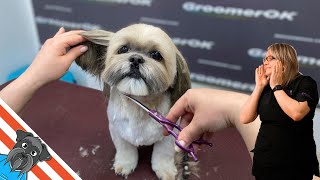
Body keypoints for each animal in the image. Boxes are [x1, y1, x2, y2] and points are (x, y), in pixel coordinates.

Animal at [76, 23, 195, 179]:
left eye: (156, 55)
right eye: (123, 49)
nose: (136, 59)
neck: (138, 105)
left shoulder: (169, 134)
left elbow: (163, 153)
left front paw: (165, 170)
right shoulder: (117, 130)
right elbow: (125, 149)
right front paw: (125, 165)